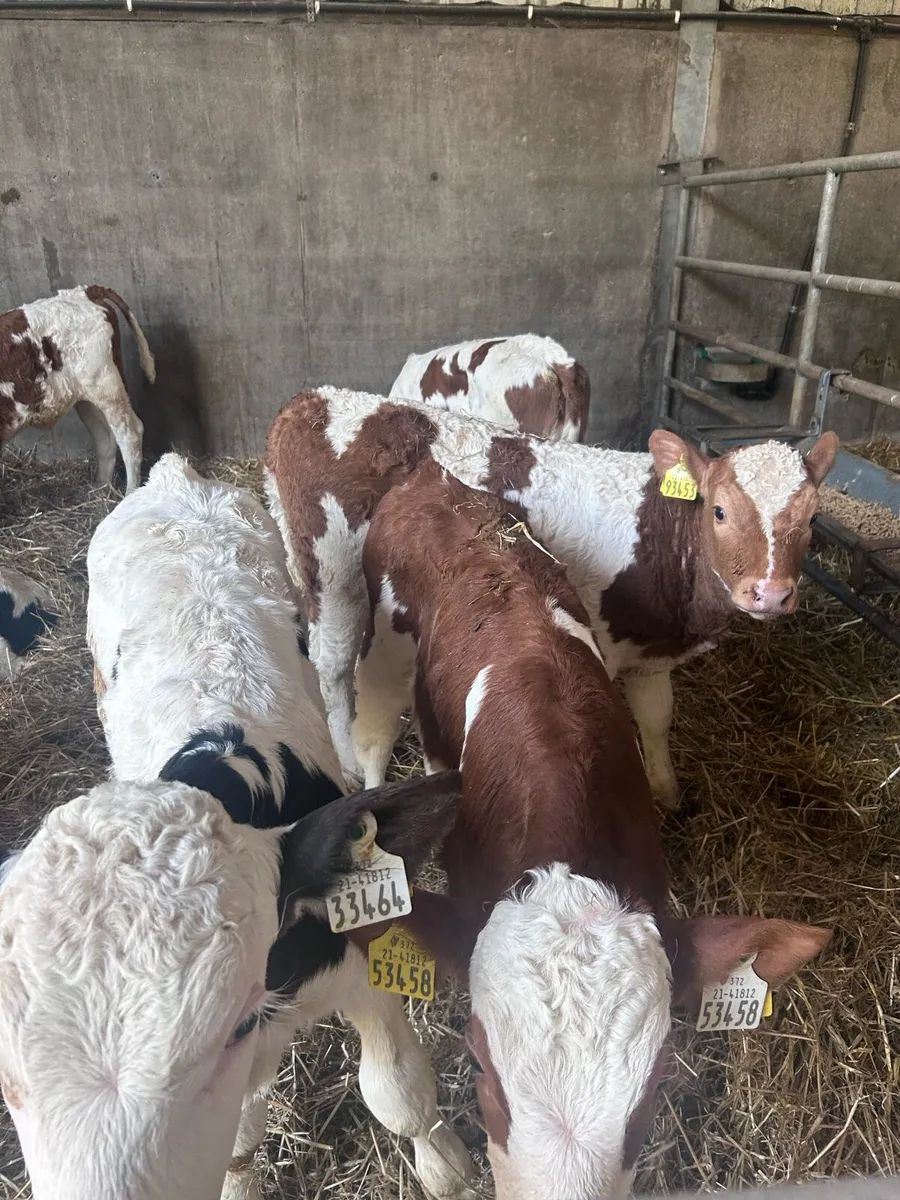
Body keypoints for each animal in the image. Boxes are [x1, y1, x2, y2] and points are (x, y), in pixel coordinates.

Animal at [0, 285, 155, 494]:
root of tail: (85, 291)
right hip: (86, 397)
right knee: (105, 436)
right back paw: (100, 488)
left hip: (106, 387)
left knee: (130, 434)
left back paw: (129, 494)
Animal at [24, 452, 476, 1200]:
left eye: (223, 1028)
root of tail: (175, 477)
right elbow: (237, 1147)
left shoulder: (356, 957)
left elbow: (400, 1093)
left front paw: (447, 1167)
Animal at [263, 386, 839, 805]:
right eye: (719, 511)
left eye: (813, 519)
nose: (770, 593)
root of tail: (310, 401)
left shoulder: (649, 654)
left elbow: (657, 717)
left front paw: (668, 793)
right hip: (332, 574)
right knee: (333, 666)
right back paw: (346, 764)